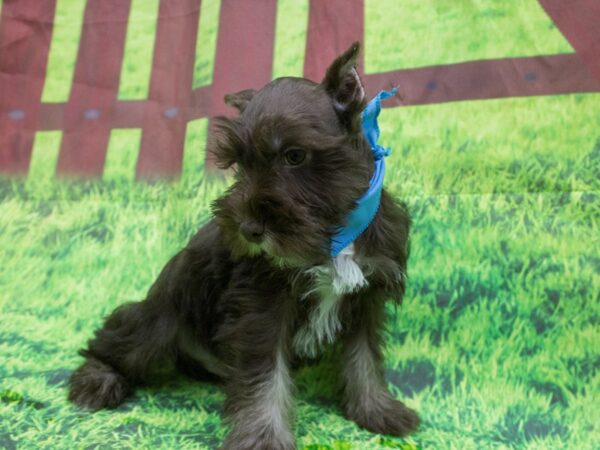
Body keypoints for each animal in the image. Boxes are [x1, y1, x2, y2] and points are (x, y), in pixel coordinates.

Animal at [69, 43, 418, 450]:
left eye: (294, 155)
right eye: (239, 163)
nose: (248, 229)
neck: (333, 233)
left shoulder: (366, 299)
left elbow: (364, 358)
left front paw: (377, 409)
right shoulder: (263, 308)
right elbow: (265, 378)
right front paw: (263, 438)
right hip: (159, 317)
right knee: (116, 340)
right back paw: (97, 379)